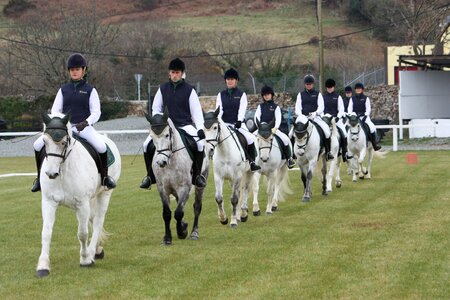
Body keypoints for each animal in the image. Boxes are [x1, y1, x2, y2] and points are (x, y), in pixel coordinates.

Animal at [36, 113, 121, 278]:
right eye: (45, 141)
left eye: (63, 142)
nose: (51, 174)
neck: (63, 170)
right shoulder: (49, 202)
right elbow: (46, 233)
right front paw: (43, 266)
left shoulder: (82, 203)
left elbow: (82, 233)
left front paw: (85, 260)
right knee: (93, 219)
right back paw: (97, 250)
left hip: (104, 193)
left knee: (98, 220)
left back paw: (93, 252)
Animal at [146, 111, 207, 245]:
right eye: (152, 137)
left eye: (167, 135)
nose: (161, 162)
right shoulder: (162, 189)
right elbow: (167, 213)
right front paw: (167, 238)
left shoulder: (184, 187)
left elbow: (178, 212)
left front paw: (181, 232)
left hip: (200, 184)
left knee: (197, 206)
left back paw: (194, 233)